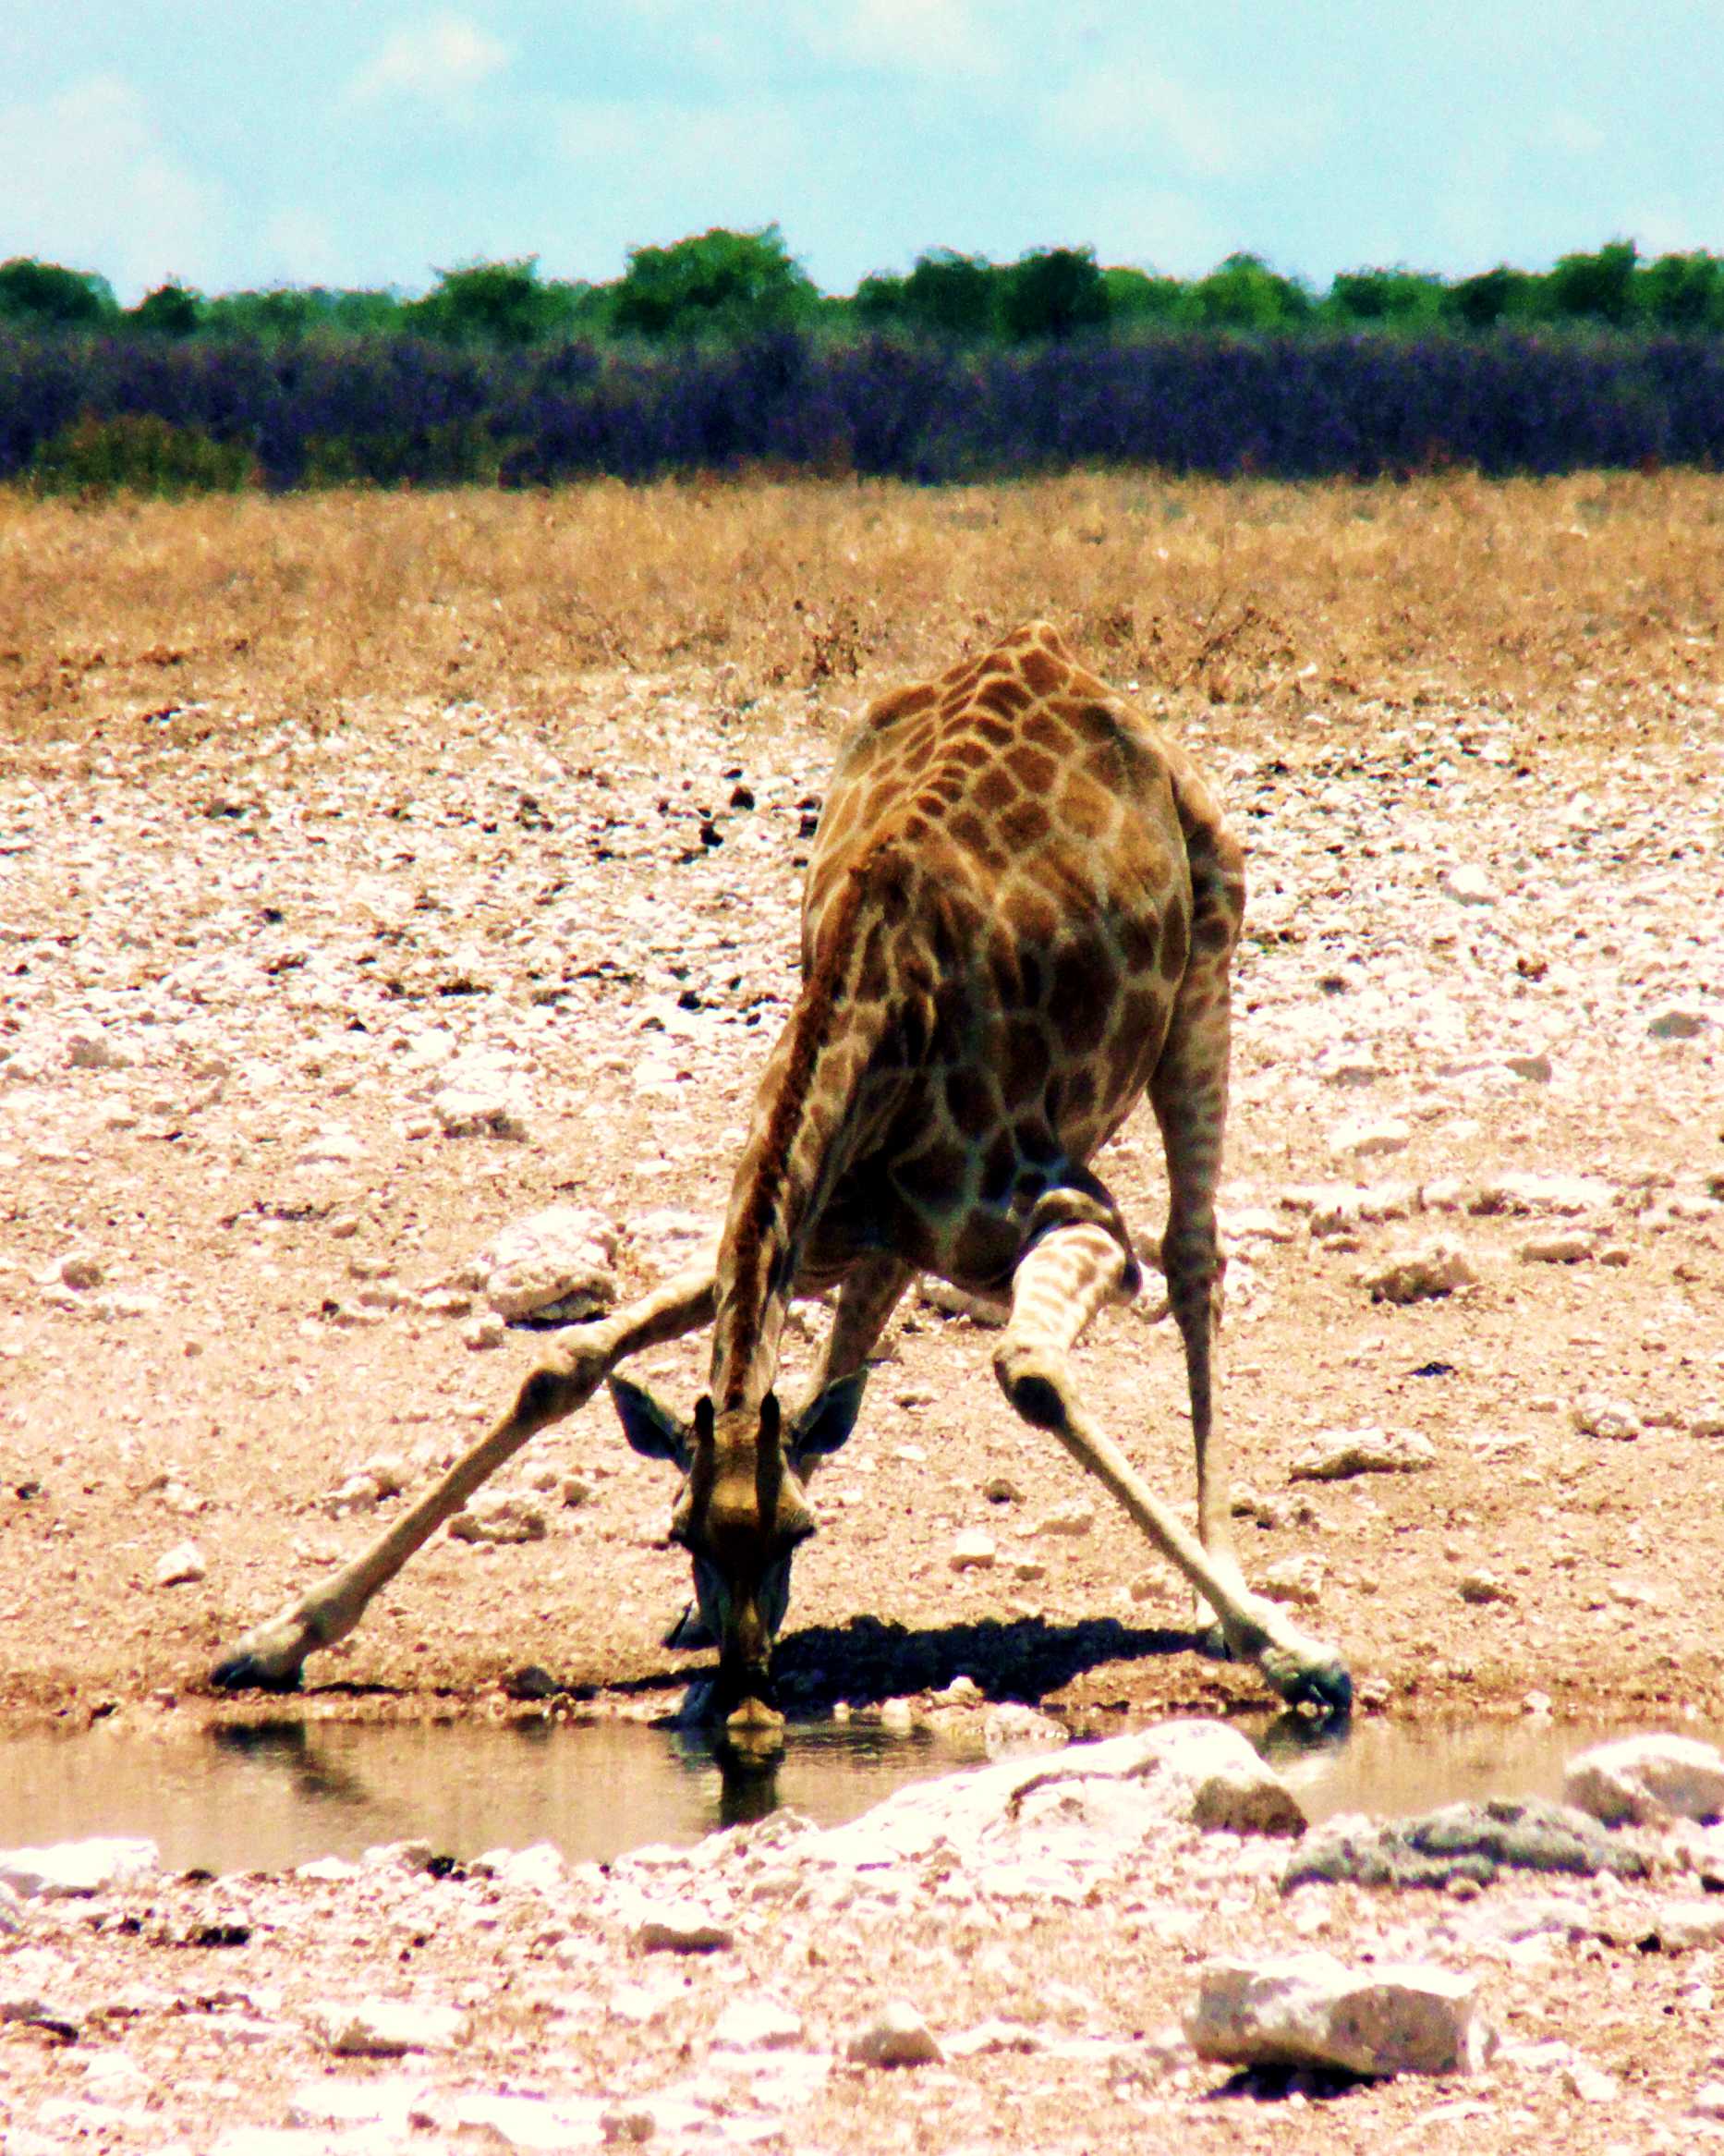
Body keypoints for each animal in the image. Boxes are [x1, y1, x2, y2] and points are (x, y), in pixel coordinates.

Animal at [212, 623, 1350, 1728]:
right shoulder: (814, 1232)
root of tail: (1056, 654)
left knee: (1194, 1254)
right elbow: (565, 1363)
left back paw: (1226, 1588)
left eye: (801, 1535)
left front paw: (1293, 1654)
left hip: (1212, 947)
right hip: (876, 1233)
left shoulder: (1076, 1215)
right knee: (841, 1361)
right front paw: (276, 1635)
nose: (748, 1683)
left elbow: (1031, 1371)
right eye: (679, 1532)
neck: (885, 1009)